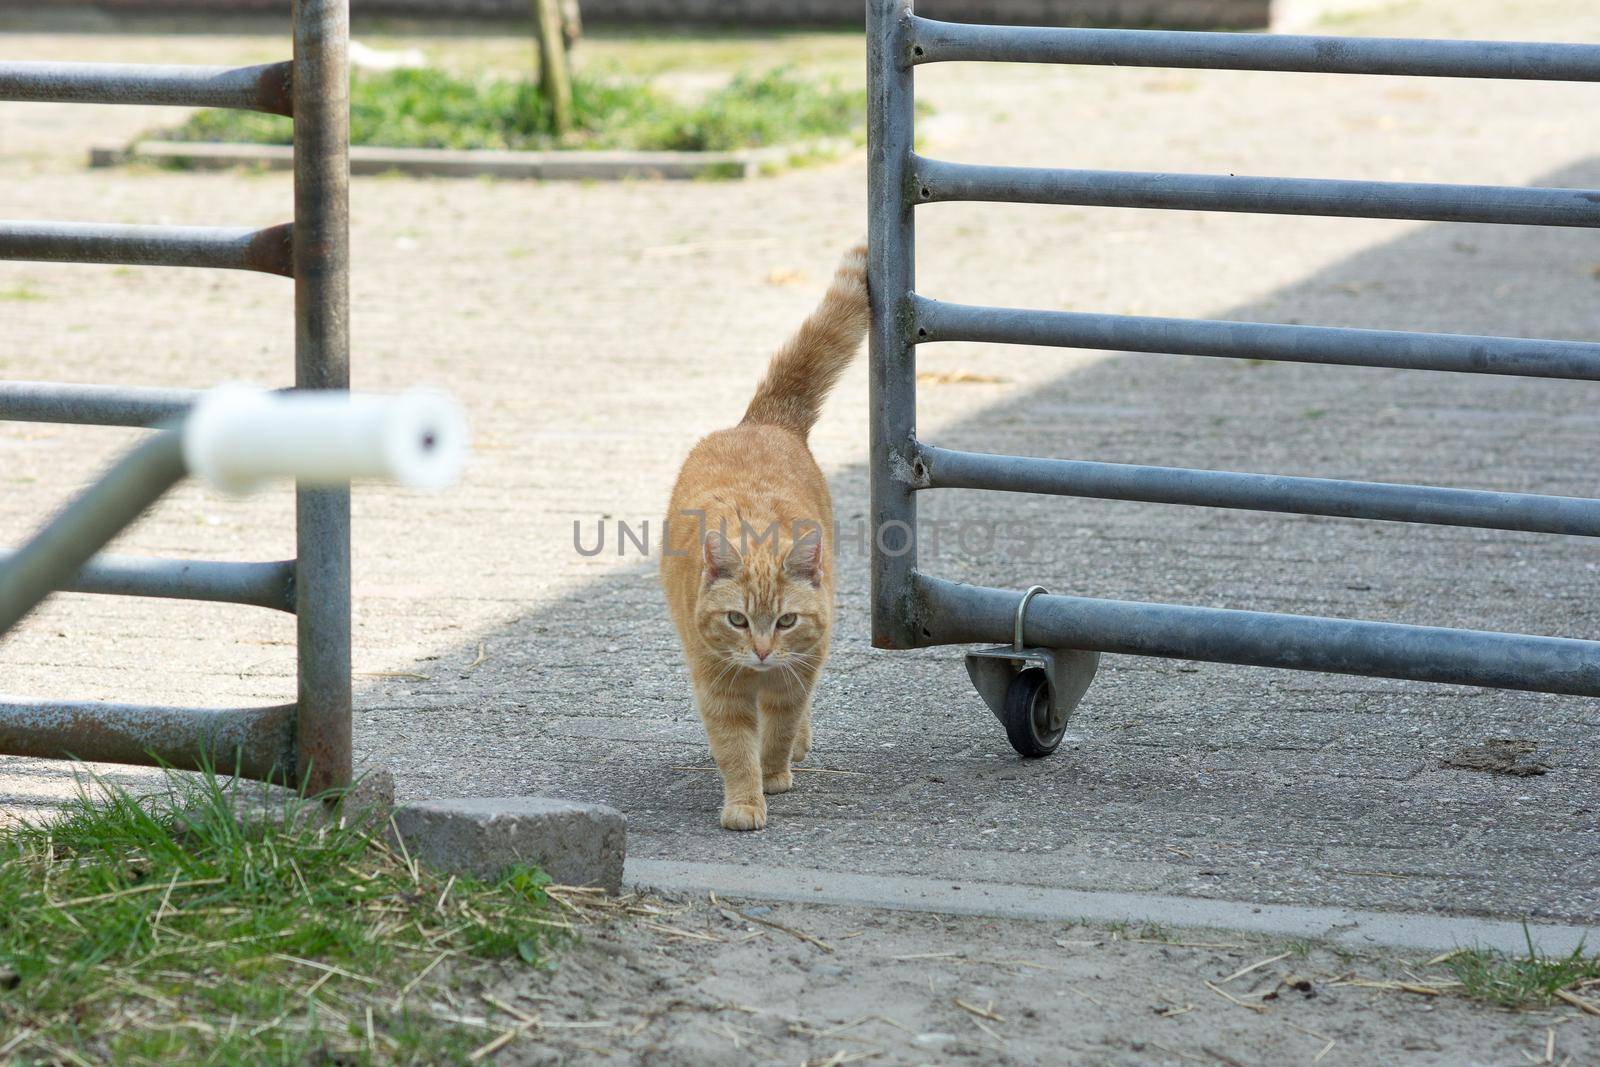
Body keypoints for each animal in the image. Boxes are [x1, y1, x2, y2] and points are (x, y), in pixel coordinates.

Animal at [656, 246, 870, 831]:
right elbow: (735, 747)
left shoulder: (795, 675)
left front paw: (774, 775)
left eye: (786, 621)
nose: (760, 650)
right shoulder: (718, 688)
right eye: (737, 619)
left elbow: (777, 729)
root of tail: (761, 422)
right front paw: (745, 801)